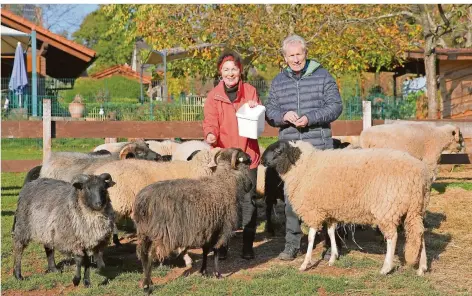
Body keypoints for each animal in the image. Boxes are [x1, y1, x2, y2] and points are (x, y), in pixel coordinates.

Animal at [133, 148, 253, 292]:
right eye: (246, 161)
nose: (251, 185)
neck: (225, 182)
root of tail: (143, 200)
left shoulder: (208, 229)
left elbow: (206, 250)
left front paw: (203, 271)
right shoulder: (221, 227)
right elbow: (216, 250)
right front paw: (217, 274)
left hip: (144, 231)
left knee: (143, 254)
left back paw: (148, 280)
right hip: (161, 232)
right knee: (151, 254)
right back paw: (147, 286)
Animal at [262, 140, 432, 276]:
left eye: (278, 151)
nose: (262, 160)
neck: (304, 166)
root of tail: (419, 175)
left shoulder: (313, 211)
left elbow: (311, 238)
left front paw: (305, 263)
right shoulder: (330, 211)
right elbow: (331, 233)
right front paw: (332, 258)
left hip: (388, 207)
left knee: (393, 237)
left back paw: (386, 268)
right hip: (415, 209)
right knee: (419, 235)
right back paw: (422, 268)